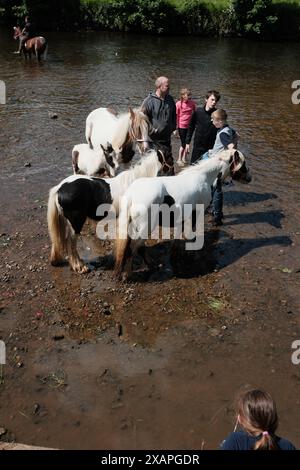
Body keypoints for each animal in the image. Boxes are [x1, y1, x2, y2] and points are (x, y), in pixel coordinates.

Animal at [114, 149, 251, 278]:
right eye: (243, 163)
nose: (249, 178)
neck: (204, 178)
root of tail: (132, 195)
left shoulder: (182, 217)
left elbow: (178, 236)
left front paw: (174, 255)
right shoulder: (196, 214)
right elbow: (190, 235)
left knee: (137, 247)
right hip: (145, 226)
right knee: (135, 247)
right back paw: (128, 273)